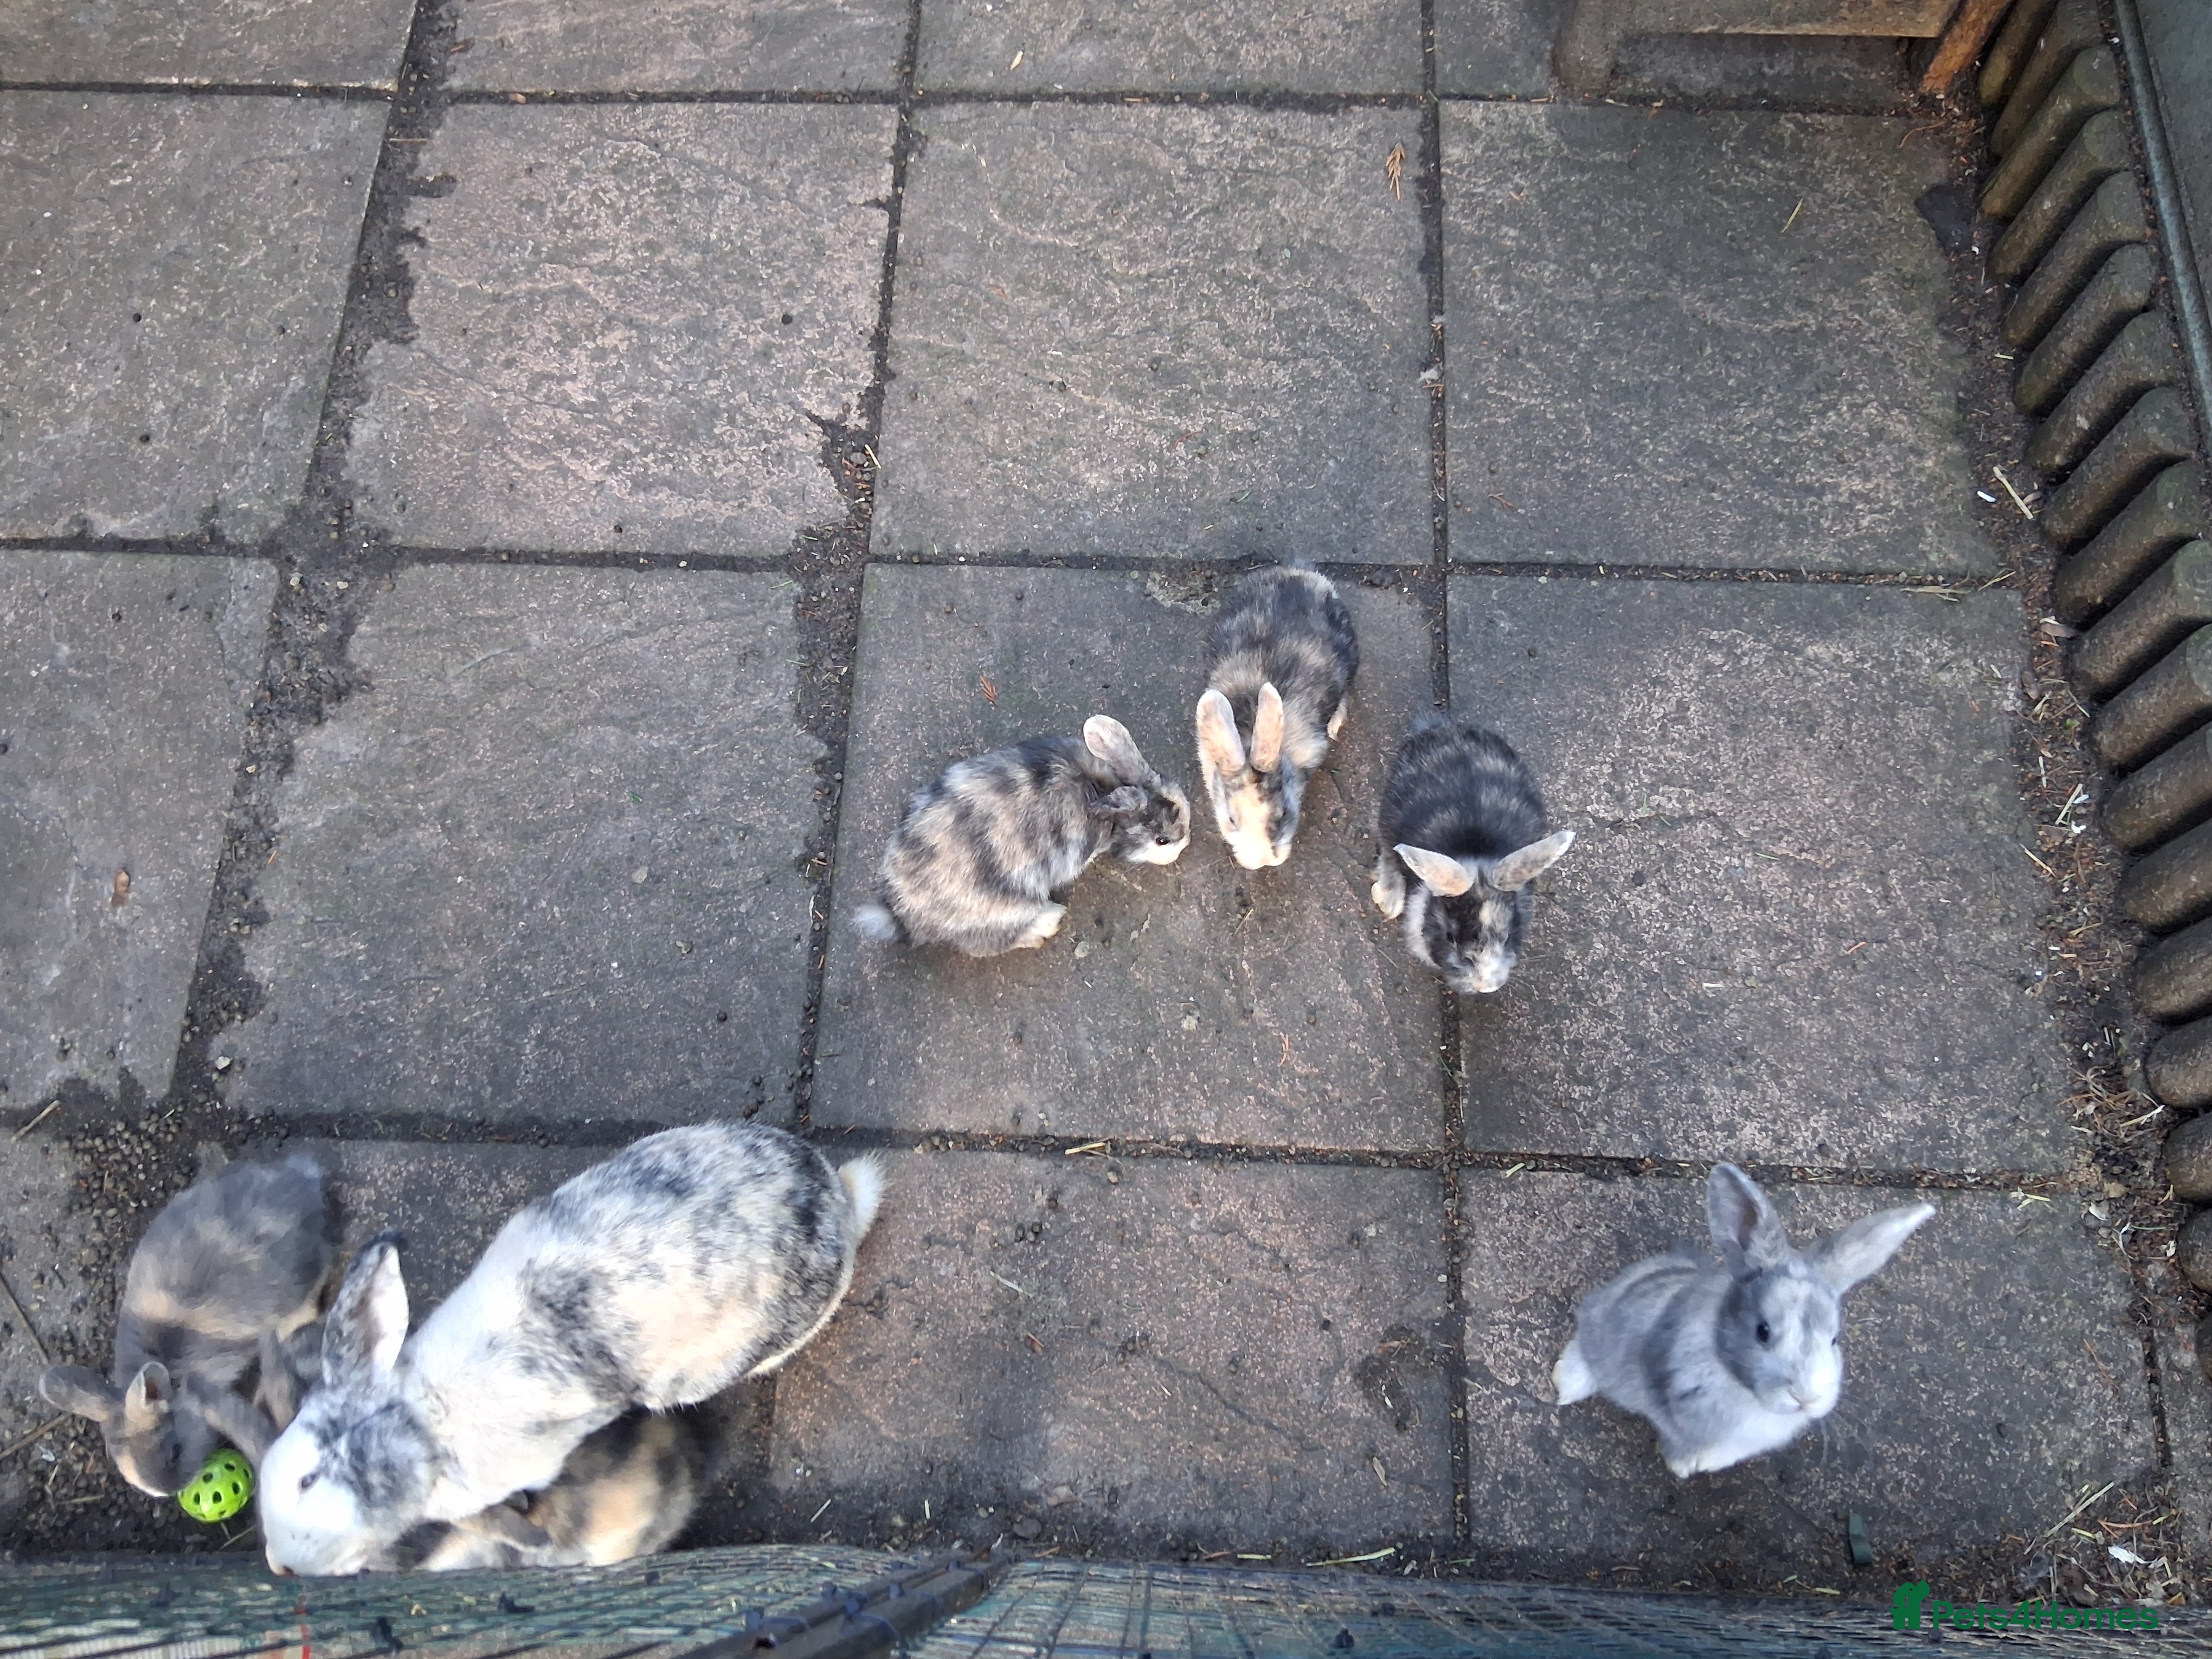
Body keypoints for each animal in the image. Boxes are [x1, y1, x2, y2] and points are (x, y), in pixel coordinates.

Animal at [852, 715, 1190, 956]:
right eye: (1162, 841)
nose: (1184, 843)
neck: (1104, 793)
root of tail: (900, 916)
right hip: (1005, 909)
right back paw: (1049, 921)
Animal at [1370, 714, 1574, 994]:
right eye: (1450, 938)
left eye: (1507, 937)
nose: (1484, 986)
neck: (1476, 853)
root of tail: (1445, 729)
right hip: (1389, 814)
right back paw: (1389, 900)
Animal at [1552, 1163, 1934, 1478]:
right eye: (1762, 1332)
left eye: (1834, 1339)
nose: (1806, 1398)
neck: (1744, 1389)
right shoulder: (1671, 1411)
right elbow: (1678, 1440)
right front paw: (1682, 1467)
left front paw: (1707, 1465)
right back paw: (1567, 1386)